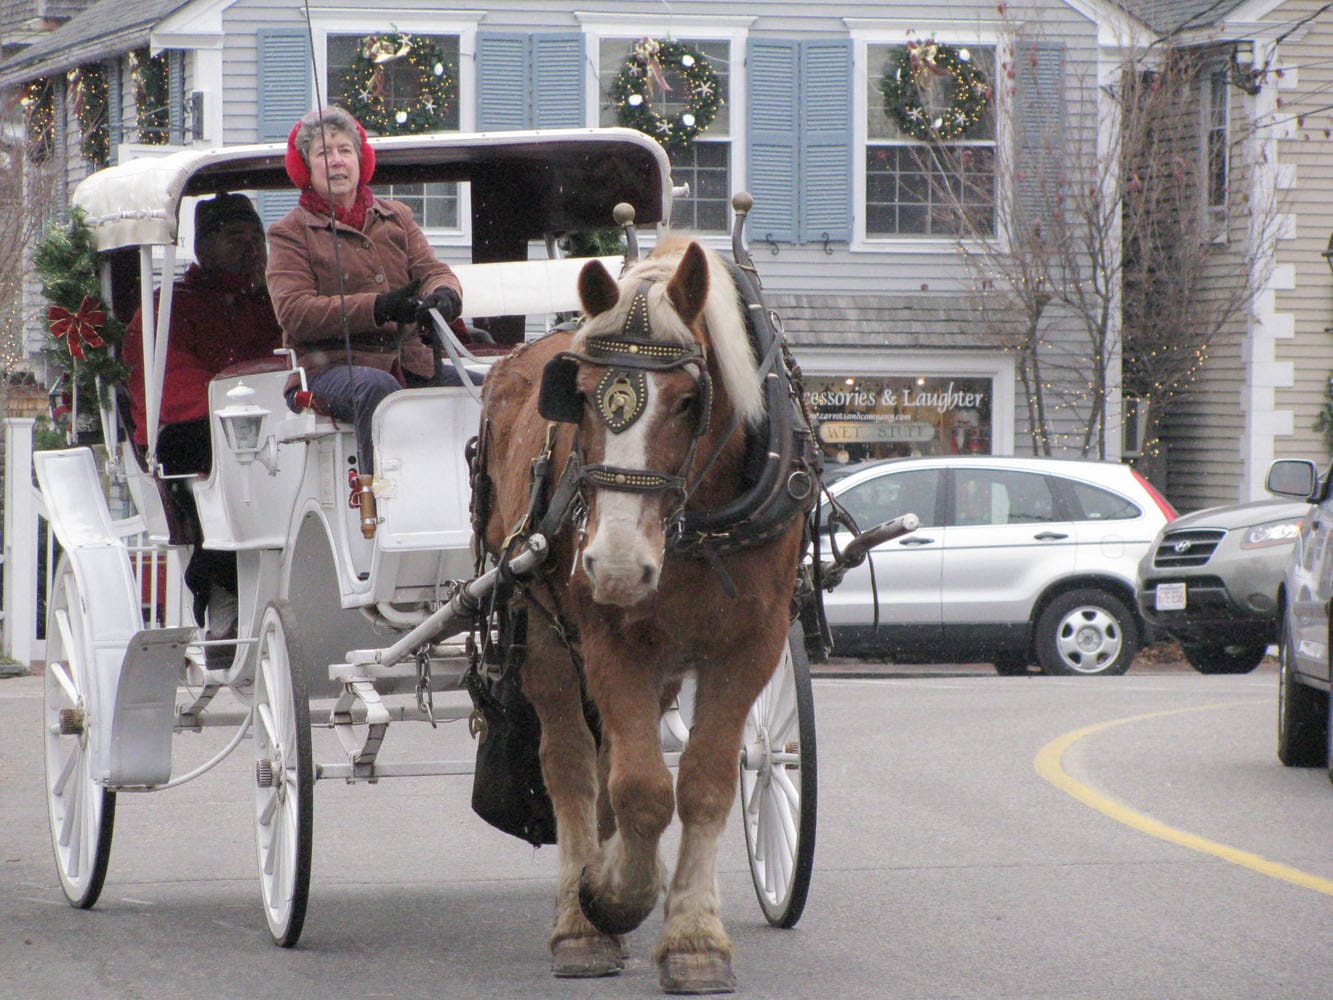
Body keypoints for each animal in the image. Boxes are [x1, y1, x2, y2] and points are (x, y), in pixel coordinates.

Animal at [482, 241, 805, 997]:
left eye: (689, 402)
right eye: (581, 395)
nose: (617, 566)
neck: (698, 525)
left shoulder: (752, 644)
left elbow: (705, 783)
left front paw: (693, 937)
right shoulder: (609, 638)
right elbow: (639, 789)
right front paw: (610, 899)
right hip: (541, 626)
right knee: (570, 763)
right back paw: (579, 923)